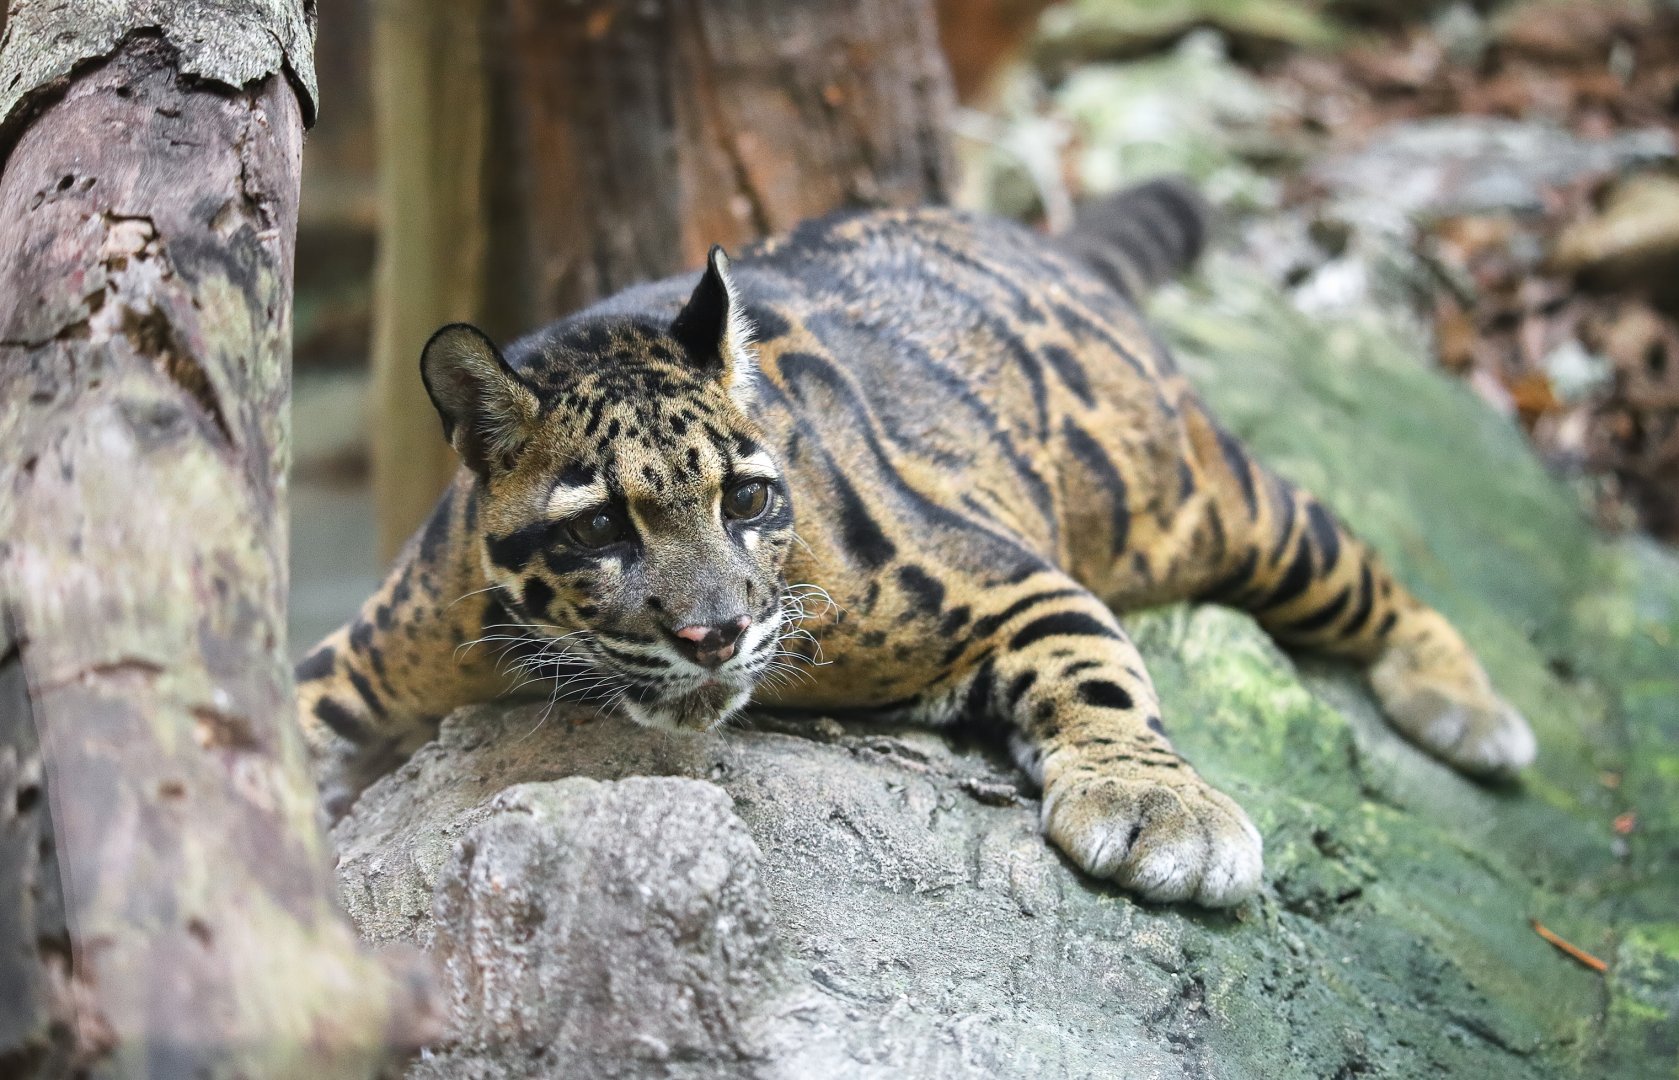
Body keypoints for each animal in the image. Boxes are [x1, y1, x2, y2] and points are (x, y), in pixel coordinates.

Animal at [296, 178, 1535, 908]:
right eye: (600, 523)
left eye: (746, 501)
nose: (716, 635)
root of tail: (1021, 232)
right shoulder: (364, 652)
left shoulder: (1011, 576)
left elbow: (1101, 679)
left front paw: (1159, 810)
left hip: (1217, 505)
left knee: (1367, 570)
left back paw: (1468, 707)